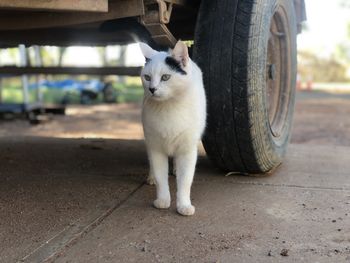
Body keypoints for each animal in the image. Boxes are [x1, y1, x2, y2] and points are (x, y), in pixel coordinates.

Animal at [139, 39, 205, 217]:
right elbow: (161, 176)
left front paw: (184, 205)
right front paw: (162, 200)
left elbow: (185, 181)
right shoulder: (155, 147)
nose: (152, 89)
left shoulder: (187, 150)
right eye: (147, 77)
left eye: (166, 77)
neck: (168, 106)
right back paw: (151, 177)